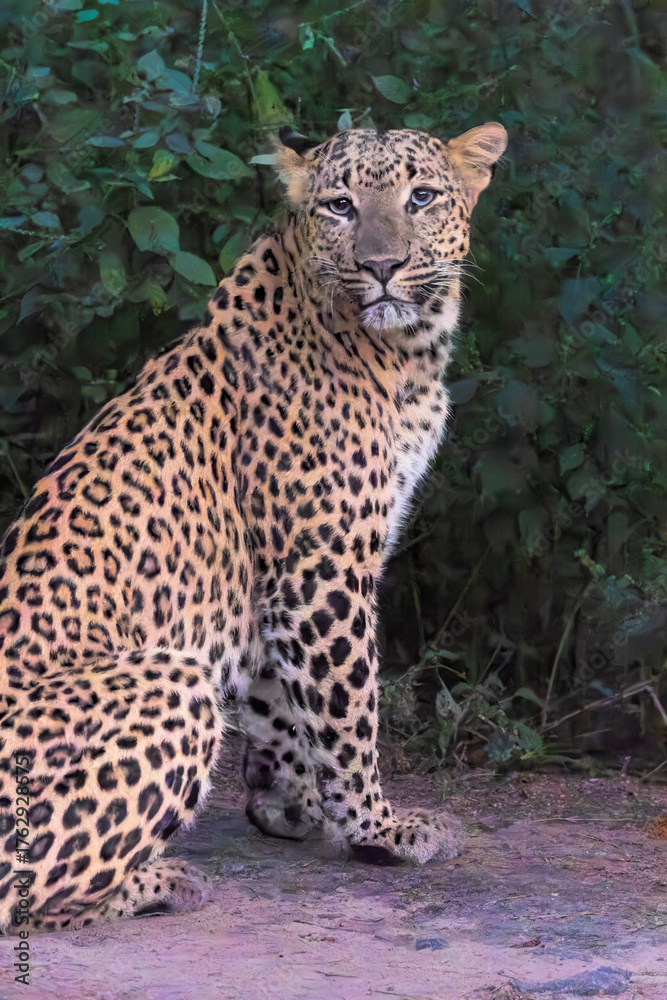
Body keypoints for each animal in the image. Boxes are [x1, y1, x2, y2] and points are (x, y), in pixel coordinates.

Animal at [0, 121, 507, 931]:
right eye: (339, 205)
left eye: (421, 197)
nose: (383, 266)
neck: (402, 353)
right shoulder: (322, 564)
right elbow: (349, 705)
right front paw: (378, 829)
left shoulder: (280, 579)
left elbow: (281, 701)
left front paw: (287, 805)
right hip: (173, 682)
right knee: (29, 883)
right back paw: (161, 882)